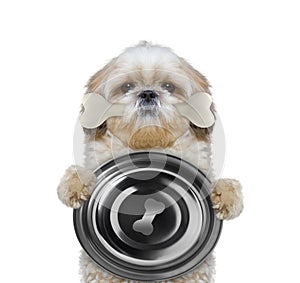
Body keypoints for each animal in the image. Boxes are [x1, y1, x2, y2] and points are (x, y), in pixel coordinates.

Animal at [56, 41, 244, 282]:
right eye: (127, 86)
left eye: (168, 86)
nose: (147, 93)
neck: (149, 144)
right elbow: (78, 174)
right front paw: (75, 185)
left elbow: (226, 184)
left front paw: (225, 197)